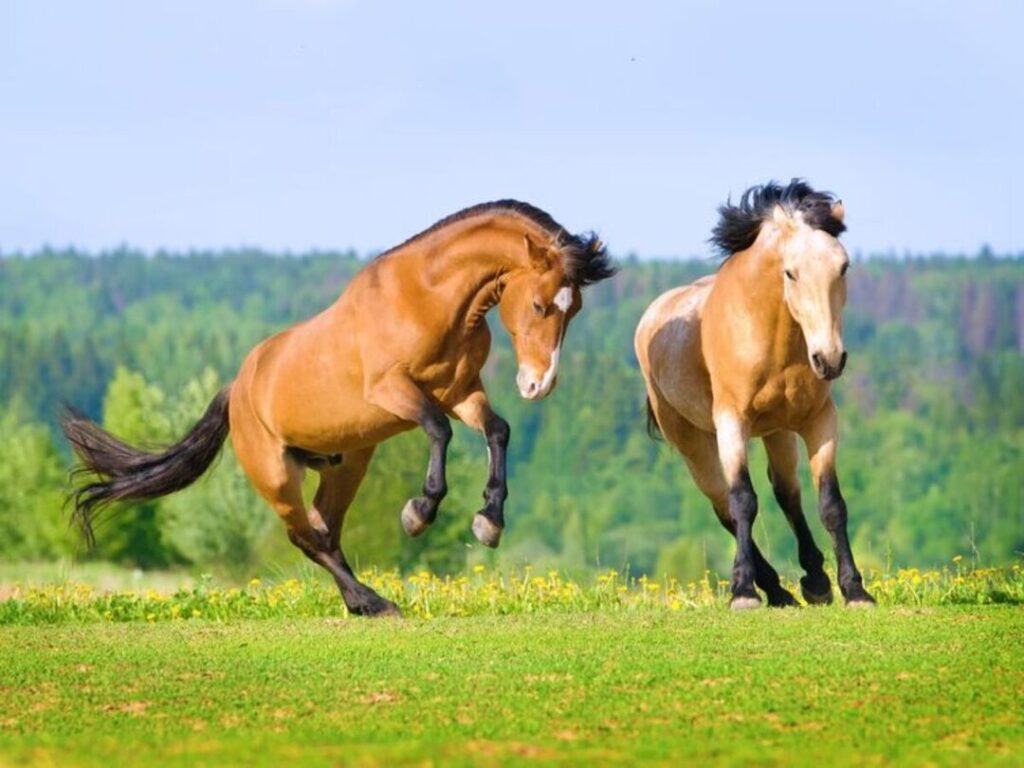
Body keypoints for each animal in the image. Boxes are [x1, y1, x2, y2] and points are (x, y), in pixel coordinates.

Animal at [63, 200, 616, 617]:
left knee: (325, 530)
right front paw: (419, 513)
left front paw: (489, 521)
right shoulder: (395, 391)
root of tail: (237, 389)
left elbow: (497, 431)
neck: (428, 299)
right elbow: (439, 431)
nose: (537, 385)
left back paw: (364, 602)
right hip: (276, 475)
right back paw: (372, 601)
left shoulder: (460, 390)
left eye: (574, 309)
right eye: (540, 305)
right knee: (305, 536)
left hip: (345, 465)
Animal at [635, 180, 875, 609]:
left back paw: (812, 580)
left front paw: (854, 589)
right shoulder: (732, 423)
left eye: (843, 266)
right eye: (790, 272)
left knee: (787, 493)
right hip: (693, 443)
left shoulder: (819, 420)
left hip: (777, 432)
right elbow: (744, 499)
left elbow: (831, 503)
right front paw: (743, 591)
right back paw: (772, 587)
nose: (829, 359)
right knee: (724, 505)